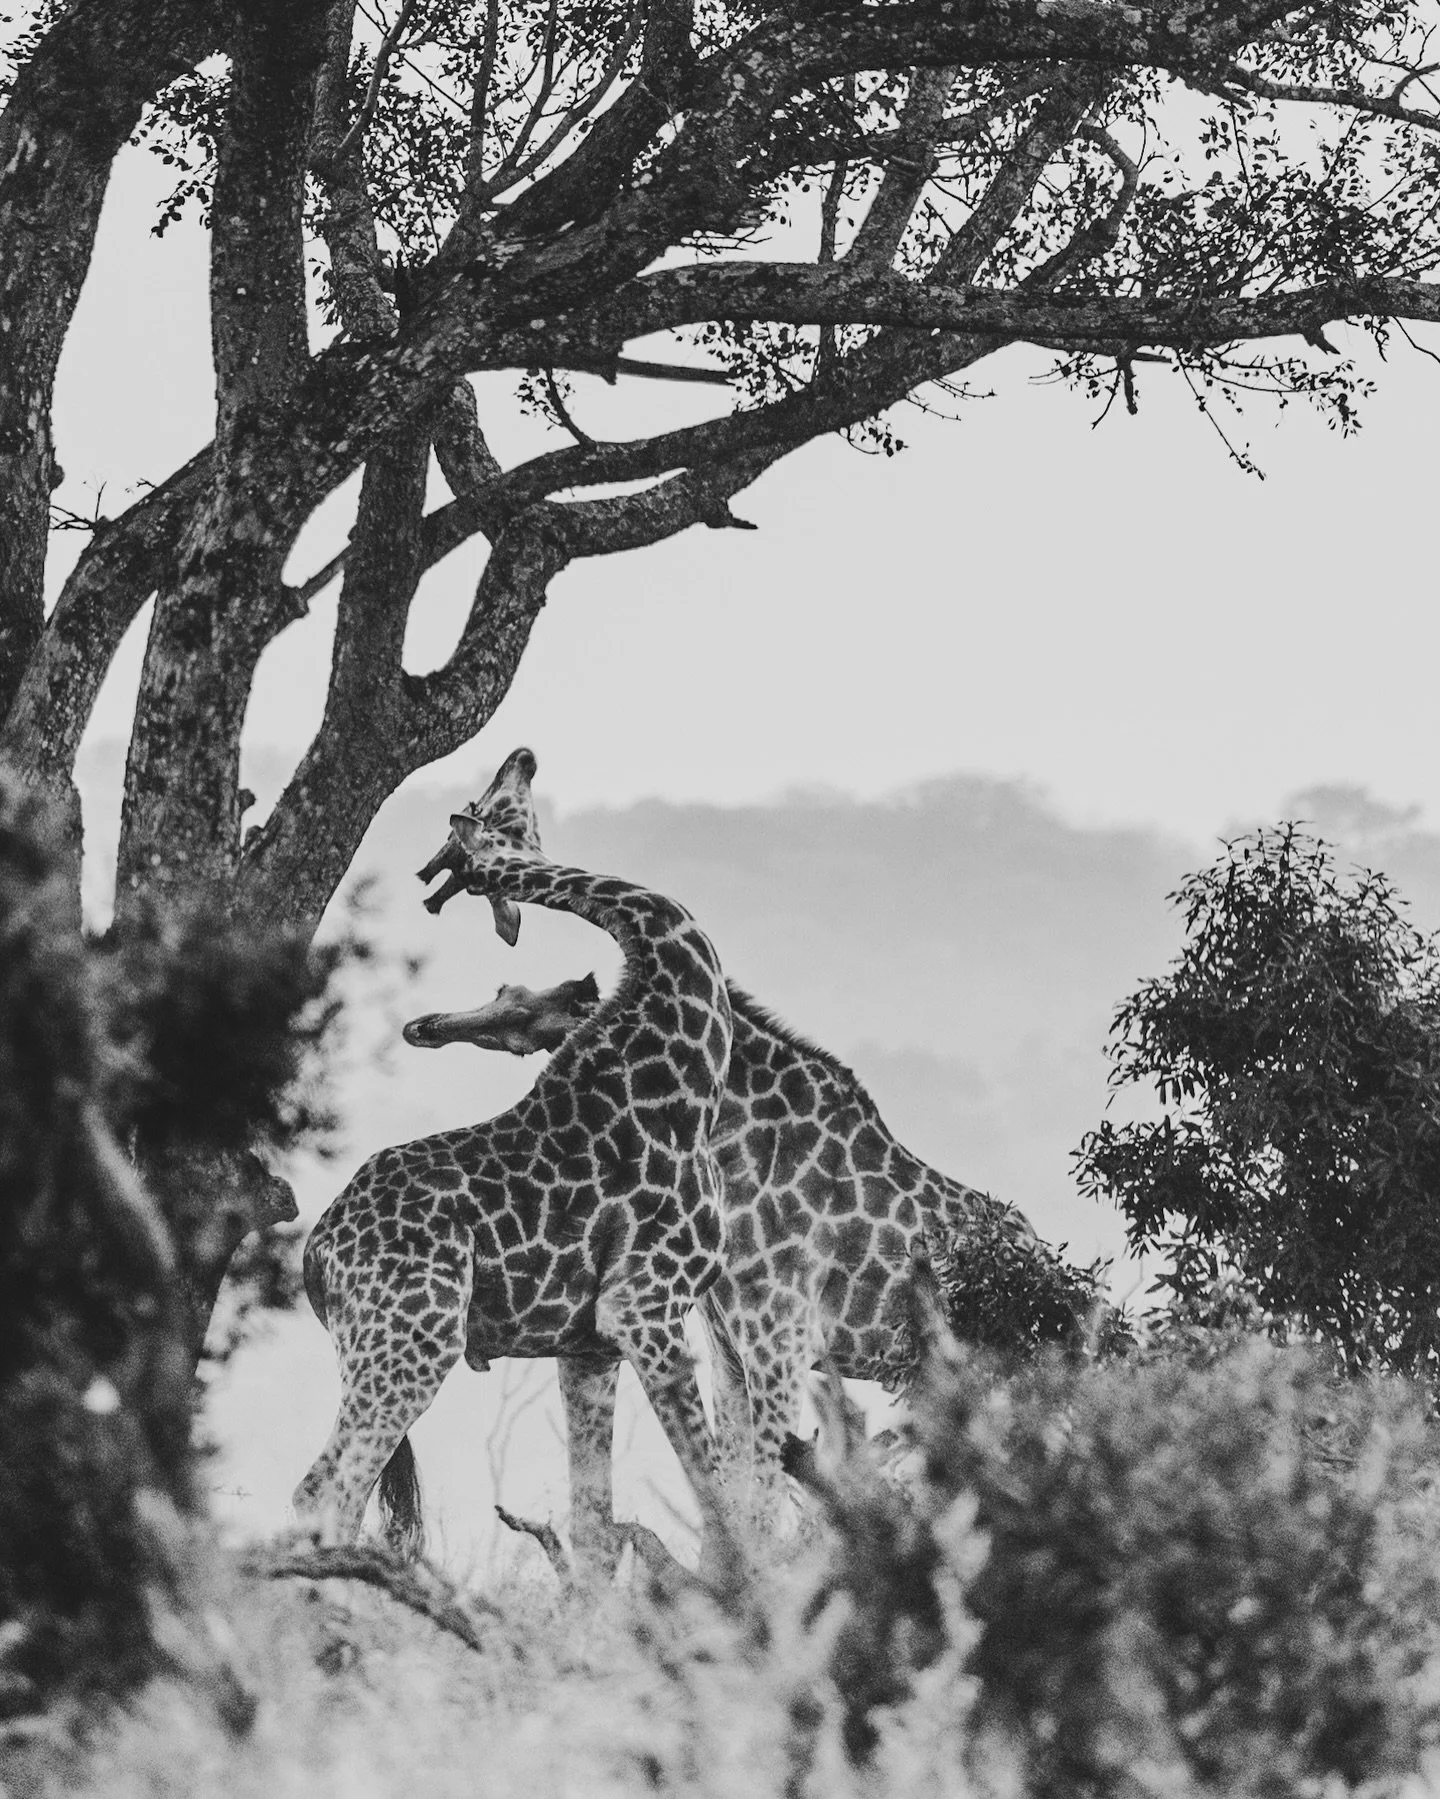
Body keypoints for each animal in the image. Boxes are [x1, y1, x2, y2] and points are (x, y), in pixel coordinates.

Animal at [293, 750, 732, 1566]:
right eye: (495, 804)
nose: (522, 755)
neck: (689, 1069)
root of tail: (315, 1251)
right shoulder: (649, 1308)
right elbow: (724, 1504)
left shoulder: (590, 1345)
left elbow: (594, 1527)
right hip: (412, 1333)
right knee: (326, 1489)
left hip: (372, 1342)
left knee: (337, 1490)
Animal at [402, 967, 1040, 1553]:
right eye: (503, 990)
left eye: (524, 1008)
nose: (424, 1026)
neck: (738, 1148)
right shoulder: (731, 1355)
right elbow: (729, 1500)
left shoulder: (779, 1344)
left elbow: (756, 1507)